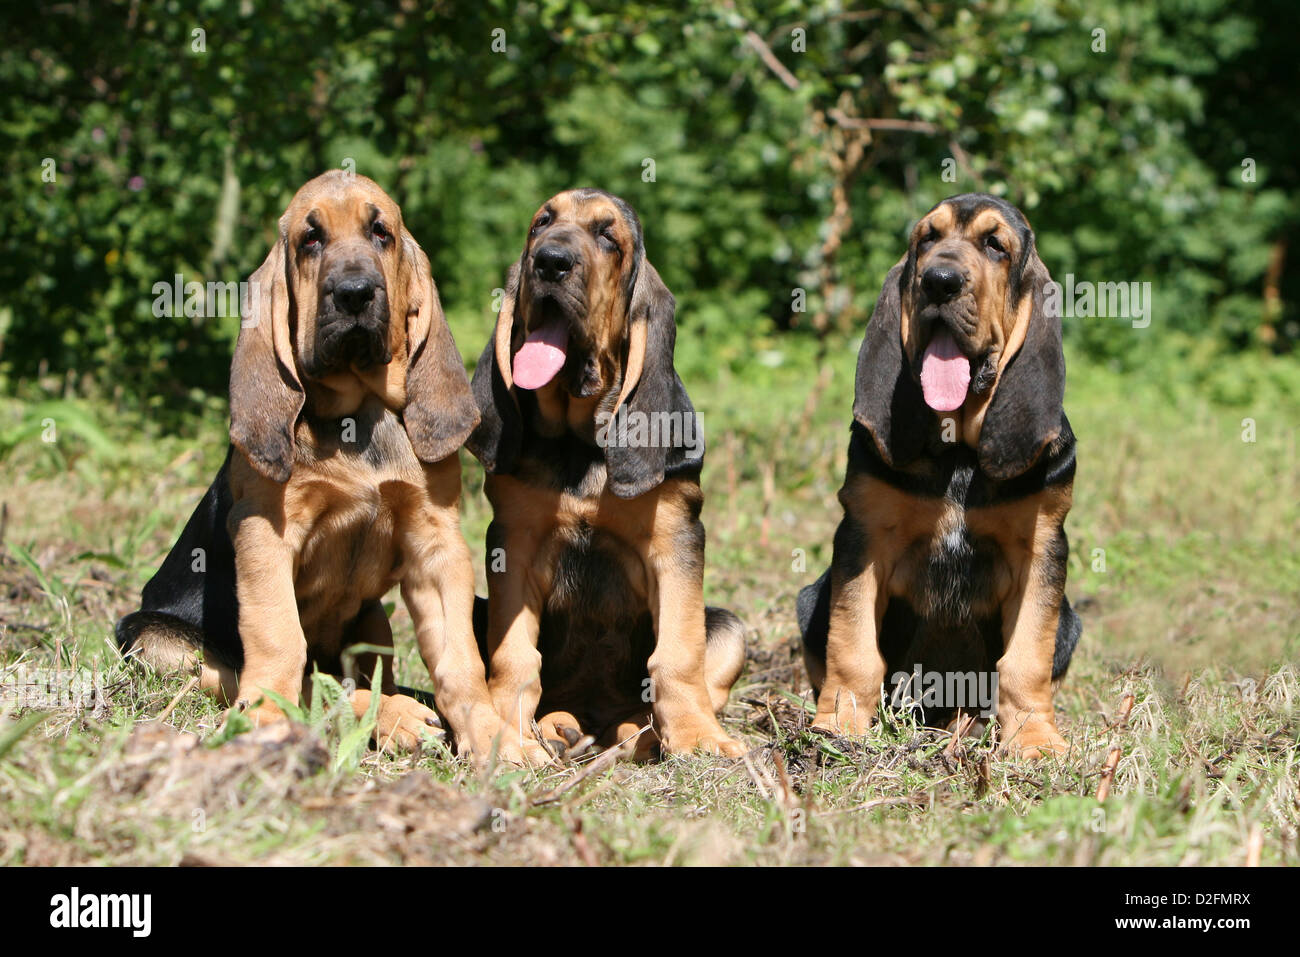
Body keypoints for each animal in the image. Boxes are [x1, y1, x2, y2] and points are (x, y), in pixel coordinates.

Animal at [115, 166, 512, 764]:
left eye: (381, 232)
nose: (354, 294)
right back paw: (390, 718)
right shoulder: (265, 533)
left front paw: (498, 740)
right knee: (294, 676)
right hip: (156, 641)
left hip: (372, 617)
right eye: (310, 239)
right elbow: (281, 639)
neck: (356, 413)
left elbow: (460, 660)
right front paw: (266, 718)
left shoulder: (436, 541)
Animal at [467, 187, 748, 764]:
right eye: (540, 224)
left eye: (607, 237)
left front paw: (698, 738)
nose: (550, 261)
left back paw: (640, 733)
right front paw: (505, 732)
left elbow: (678, 656)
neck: (581, 442)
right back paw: (559, 726)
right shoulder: (513, 540)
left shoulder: (676, 537)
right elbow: (513, 656)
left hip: (731, 629)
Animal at [795, 195, 1081, 759]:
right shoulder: (863, 536)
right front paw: (840, 726)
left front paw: (1035, 739)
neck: (959, 455)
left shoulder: (1042, 547)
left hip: (1071, 624)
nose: (939, 281)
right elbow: (853, 646)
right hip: (810, 599)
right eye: (927, 239)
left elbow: (1026, 658)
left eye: (996, 245)